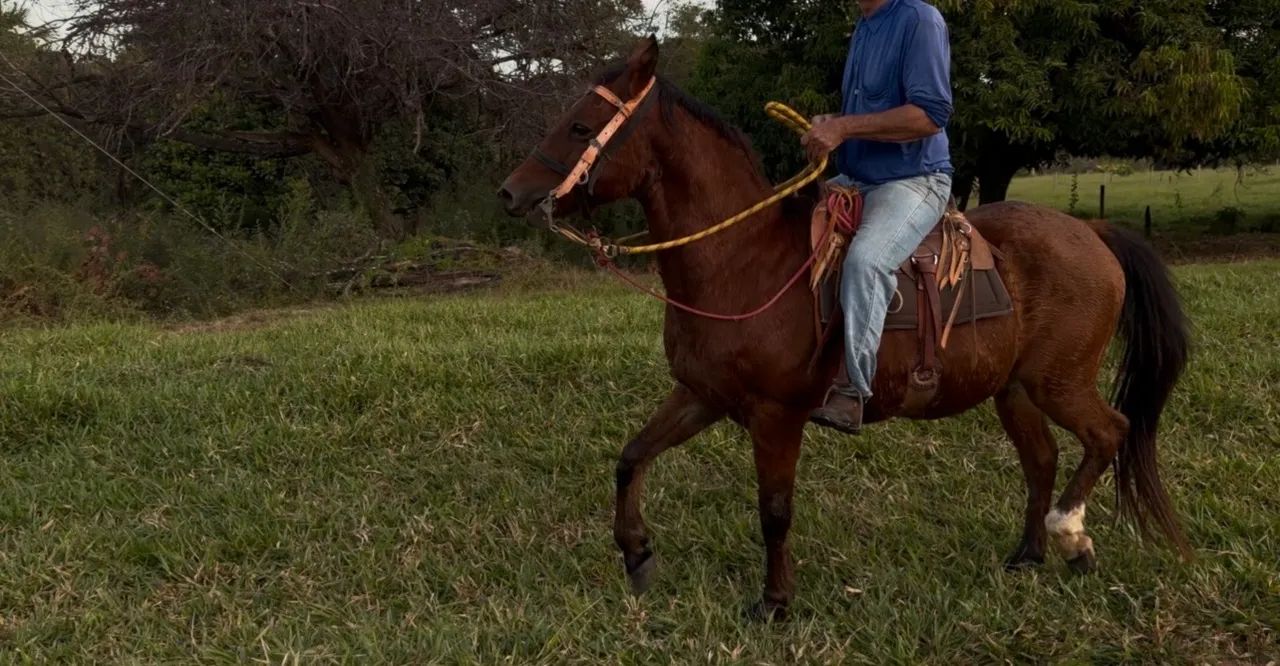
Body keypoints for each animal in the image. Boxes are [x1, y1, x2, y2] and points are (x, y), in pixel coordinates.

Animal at [498, 37, 1191, 620]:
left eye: (580, 125)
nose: (510, 193)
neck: (741, 261)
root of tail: (1092, 232)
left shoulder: (776, 416)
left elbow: (775, 511)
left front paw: (775, 602)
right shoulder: (701, 395)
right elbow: (632, 456)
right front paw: (637, 554)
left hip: (1059, 382)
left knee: (1109, 432)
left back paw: (1071, 536)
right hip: (1013, 389)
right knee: (1042, 459)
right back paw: (1027, 556)